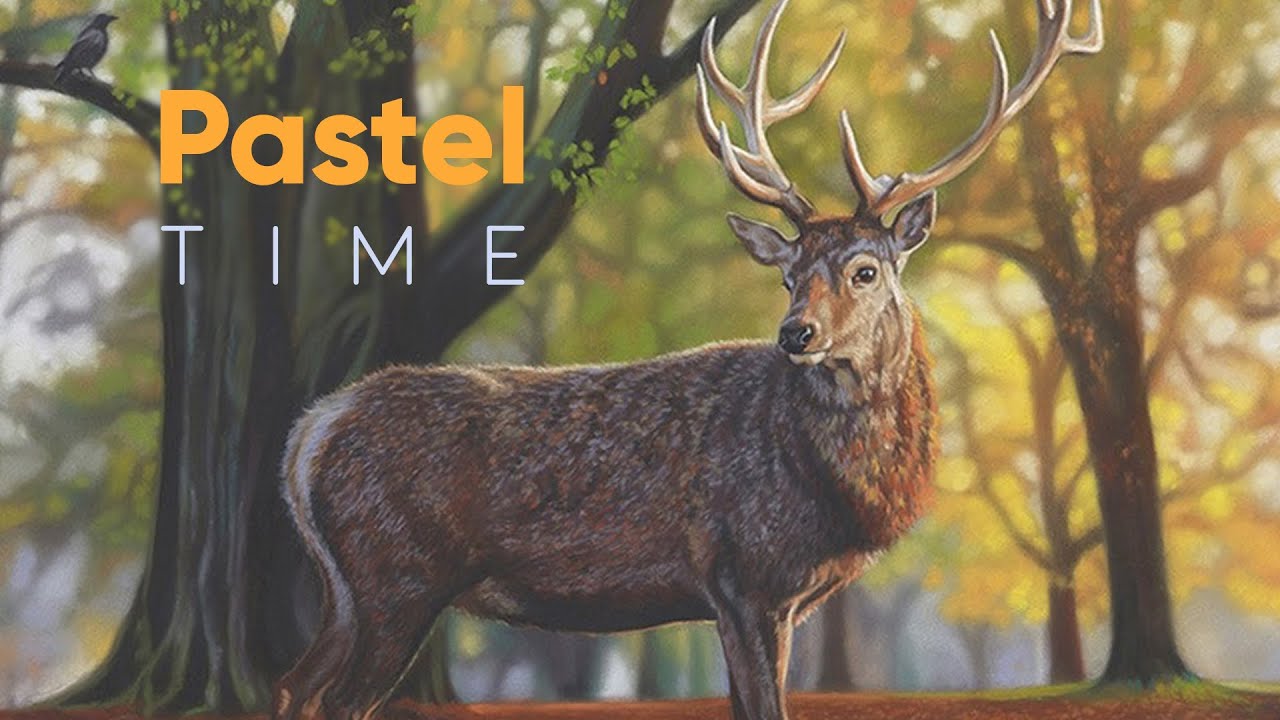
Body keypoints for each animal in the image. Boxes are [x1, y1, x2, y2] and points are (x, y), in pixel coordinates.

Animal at [273, 1, 1101, 719]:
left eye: (866, 269)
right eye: (788, 274)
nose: (795, 333)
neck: (839, 496)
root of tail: (312, 429)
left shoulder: (761, 598)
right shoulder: (742, 577)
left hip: (344, 593)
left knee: (292, 687)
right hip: (398, 576)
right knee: (336, 699)